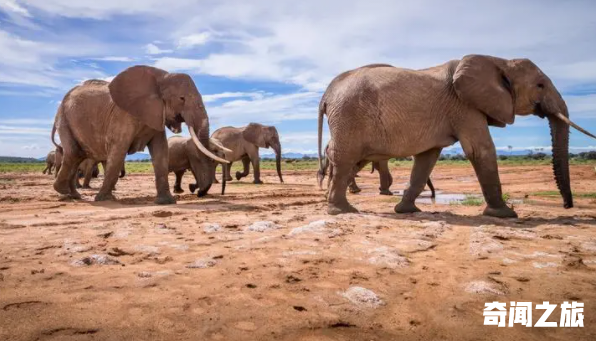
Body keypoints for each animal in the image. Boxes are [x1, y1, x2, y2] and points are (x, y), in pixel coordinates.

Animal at [50, 65, 230, 203]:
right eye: (181, 98)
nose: (195, 190)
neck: (161, 77)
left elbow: (160, 151)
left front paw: (166, 202)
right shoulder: (122, 115)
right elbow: (118, 151)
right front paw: (105, 199)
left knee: (77, 154)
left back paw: (73, 195)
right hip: (64, 119)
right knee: (74, 153)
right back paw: (65, 191)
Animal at [318, 54, 592, 216]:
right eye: (540, 85)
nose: (567, 206)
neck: (500, 61)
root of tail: (327, 93)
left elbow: (427, 159)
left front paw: (406, 210)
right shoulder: (465, 106)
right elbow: (480, 151)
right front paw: (505, 214)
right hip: (349, 117)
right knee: (345, 160)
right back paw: (342, 210)